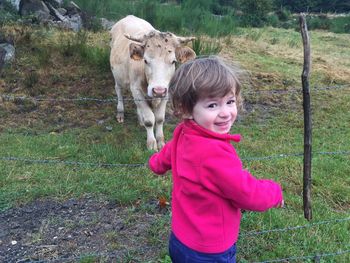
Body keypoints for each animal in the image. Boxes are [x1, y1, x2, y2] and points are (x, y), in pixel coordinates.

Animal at [110, 14, 196, 151]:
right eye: (145, 60)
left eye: (173, 61)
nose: (158, 90)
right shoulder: (136, 89)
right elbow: (150, 119)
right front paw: (151, 143)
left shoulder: (166, 92)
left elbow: (159, 119)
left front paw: (160, 141)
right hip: (117, 75)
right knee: (118, 90)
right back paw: (120, 113)